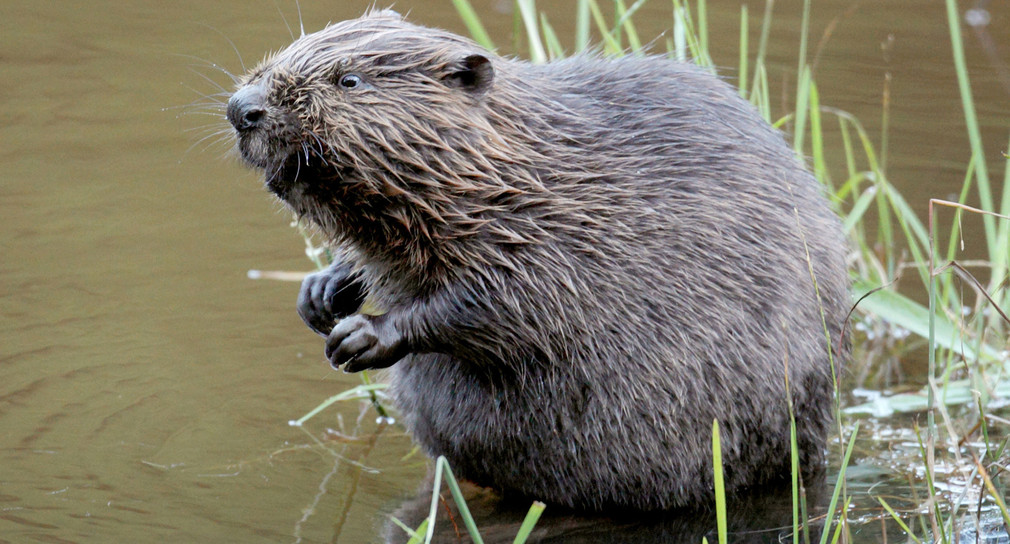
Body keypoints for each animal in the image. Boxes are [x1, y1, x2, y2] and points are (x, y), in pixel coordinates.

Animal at [225, 8, 848, 512]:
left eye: (349, 80)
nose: (242, 108)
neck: (513, 167)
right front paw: (320, 293)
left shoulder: (554, 236)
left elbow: (506, 305)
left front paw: (360, 336)